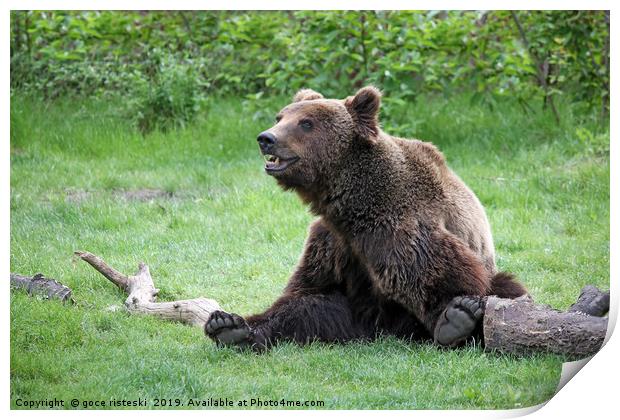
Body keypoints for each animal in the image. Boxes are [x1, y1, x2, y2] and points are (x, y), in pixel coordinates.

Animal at [206, 86, 524, 352]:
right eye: (280, 116)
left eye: (306, 123)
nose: (266, 139)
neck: (352, 202)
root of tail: (379, 331)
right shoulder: (332, 239)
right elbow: (306, 289)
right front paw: (230, 322)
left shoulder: (398, 225)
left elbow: (444, 274)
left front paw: (457, 317)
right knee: (314, 309)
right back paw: (230, 328)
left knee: (505, 287)